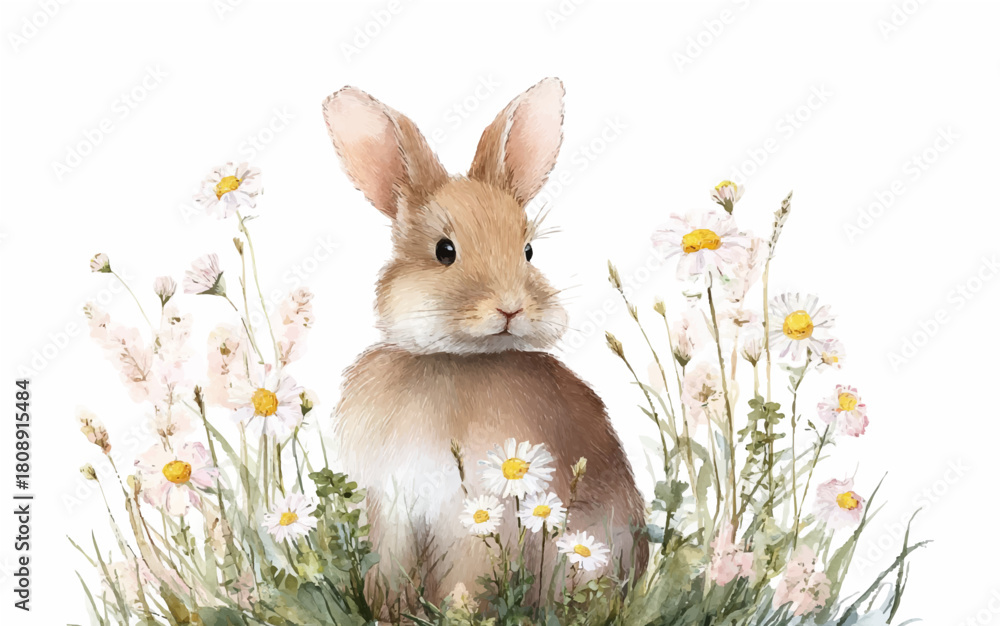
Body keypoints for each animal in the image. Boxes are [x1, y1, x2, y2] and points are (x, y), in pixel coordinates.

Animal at [322, 77, 647, 610]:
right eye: (444, 251)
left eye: (528, 251)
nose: (510, 308)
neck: (455, 360)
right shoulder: (391, 506)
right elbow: (386, 572)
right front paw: (388, 611)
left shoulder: (476, 512)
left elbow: (467, 580)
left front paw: (460, 611)